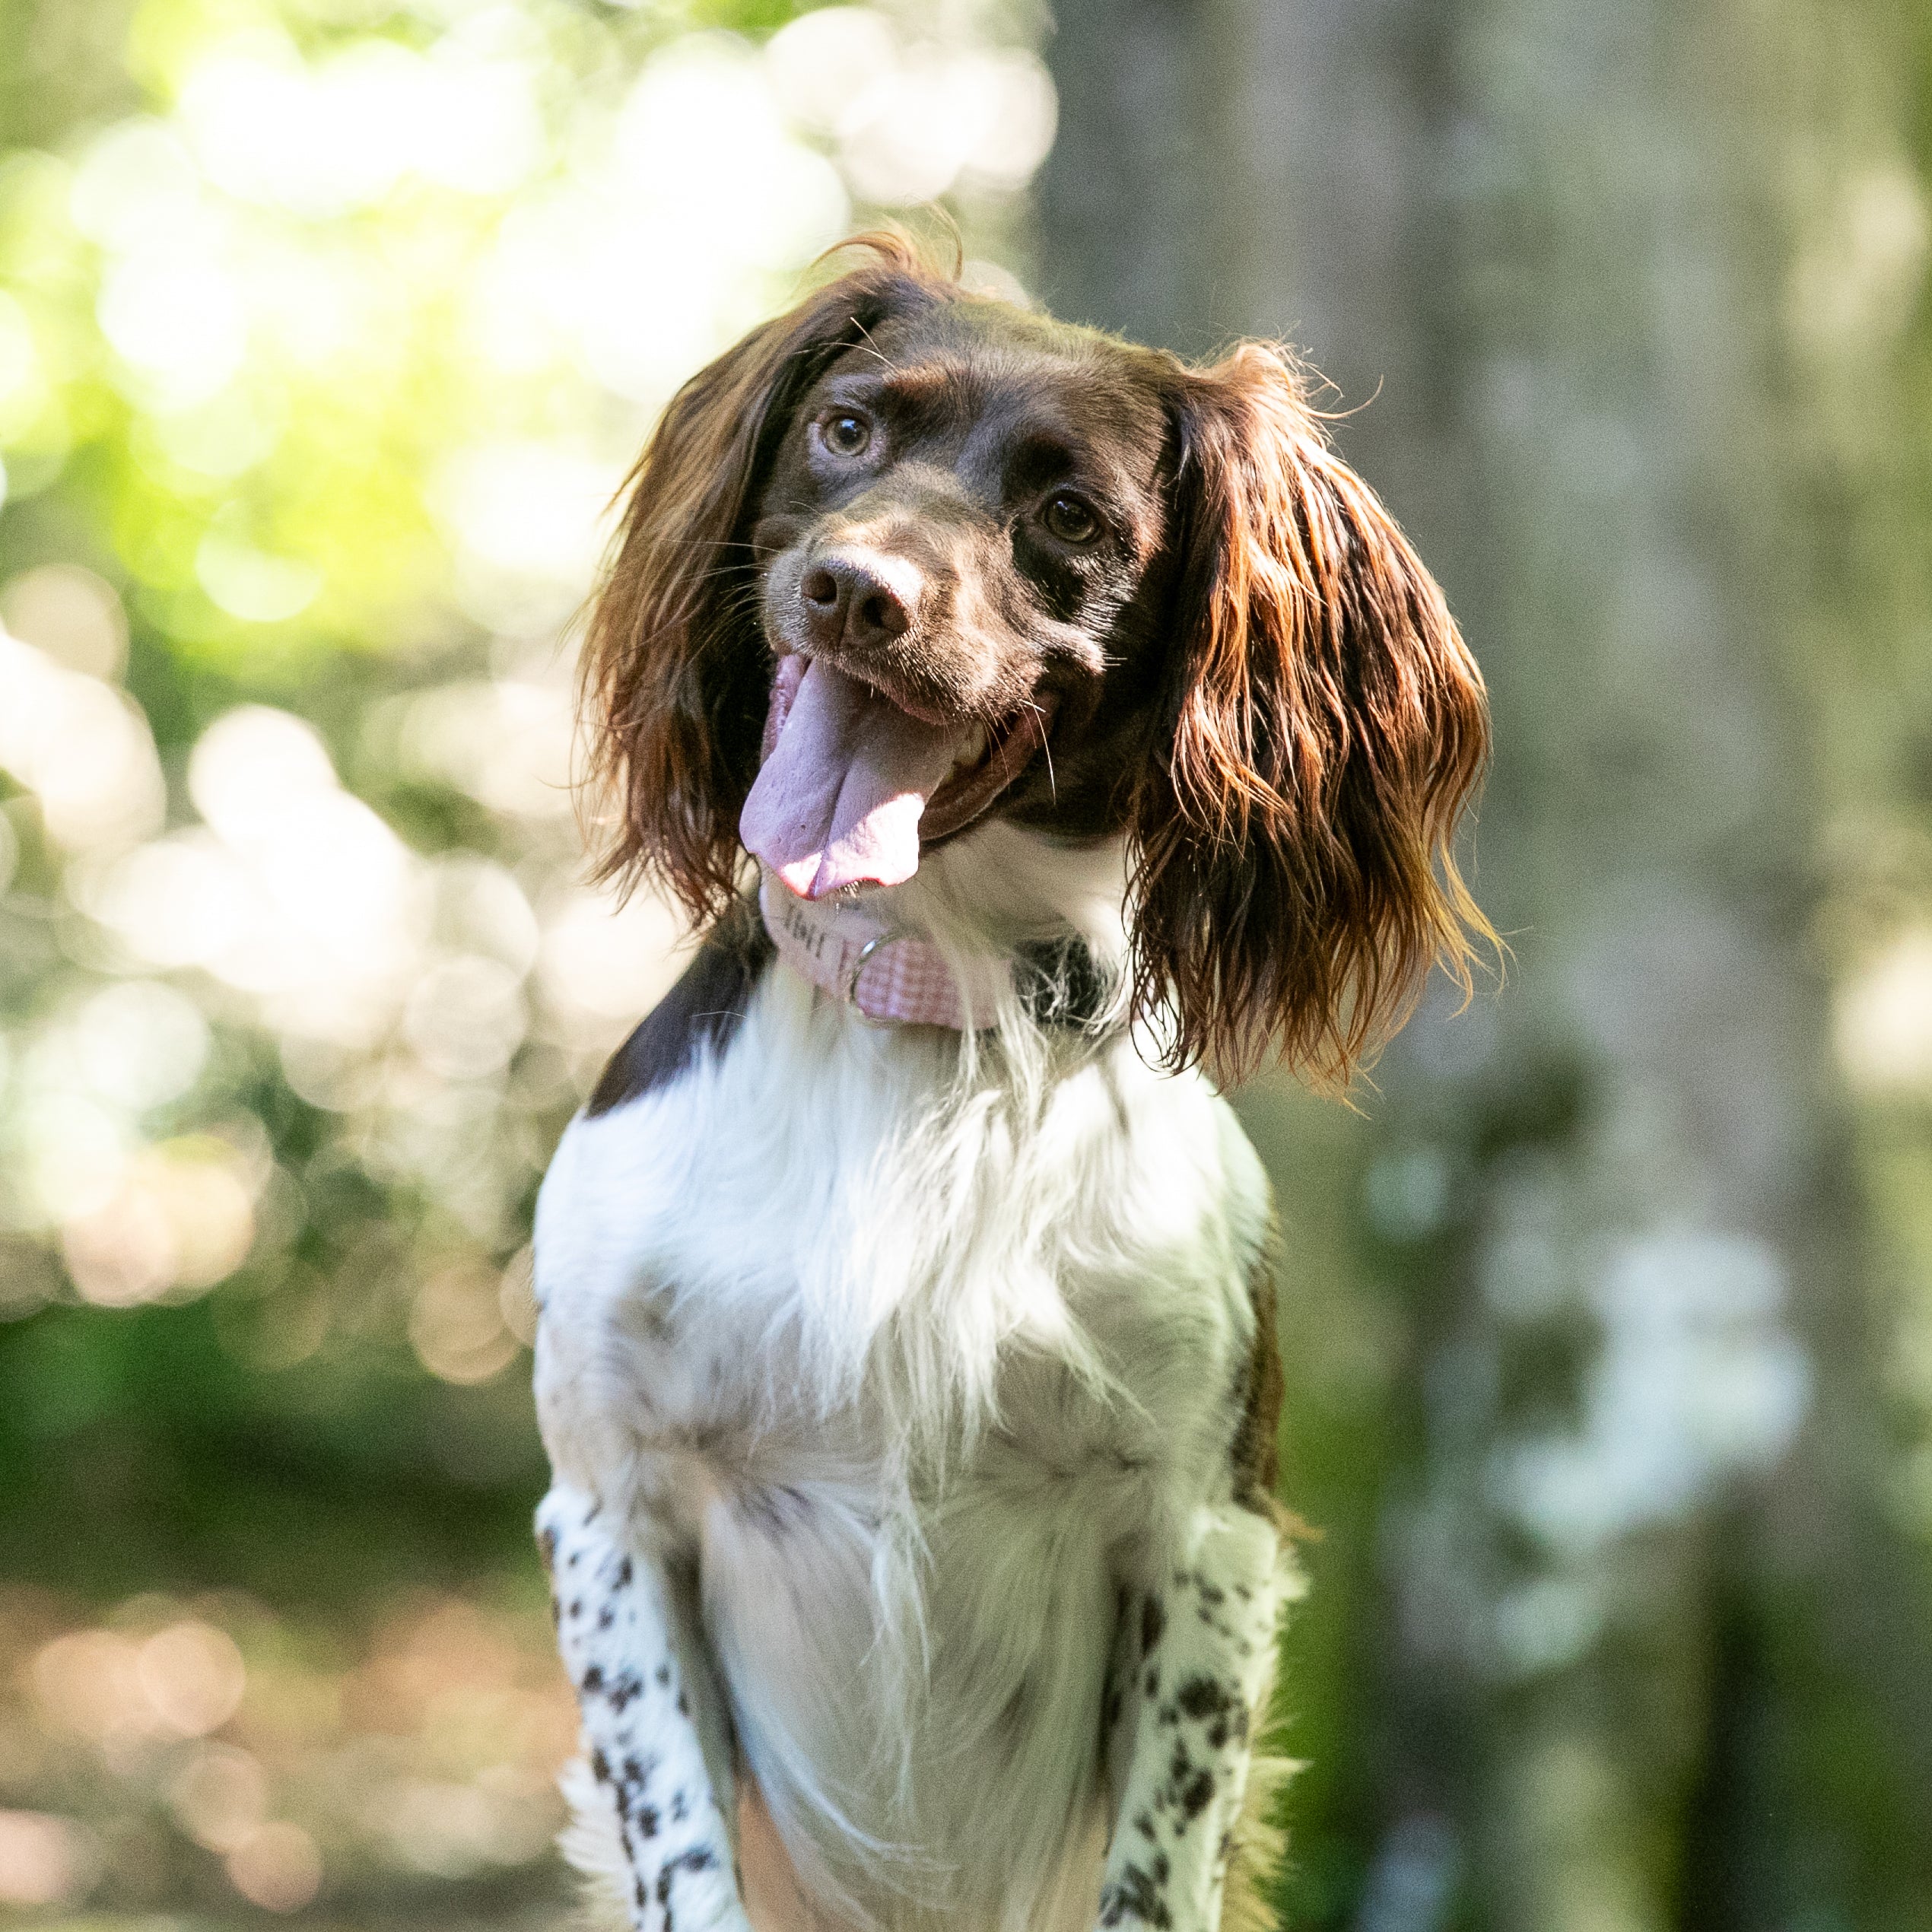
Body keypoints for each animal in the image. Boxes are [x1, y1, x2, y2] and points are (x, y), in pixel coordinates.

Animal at [533, 230, 1491, 1932]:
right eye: (846, 428)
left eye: (1069, 519)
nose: (856, 591)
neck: (931, 1013)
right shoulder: (611, 1508)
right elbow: (681, 1848)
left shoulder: (1209, 1540)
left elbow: (1154, 1868)